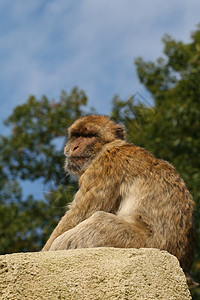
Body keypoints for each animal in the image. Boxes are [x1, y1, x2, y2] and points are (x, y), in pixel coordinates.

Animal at [42, 115, 195, 286]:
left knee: (99, 220)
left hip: (138, 242)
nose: (74, 147)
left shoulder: (105, 166)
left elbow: (79, 214)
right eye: (77, 135)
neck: (107, 147)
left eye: (89, 136)